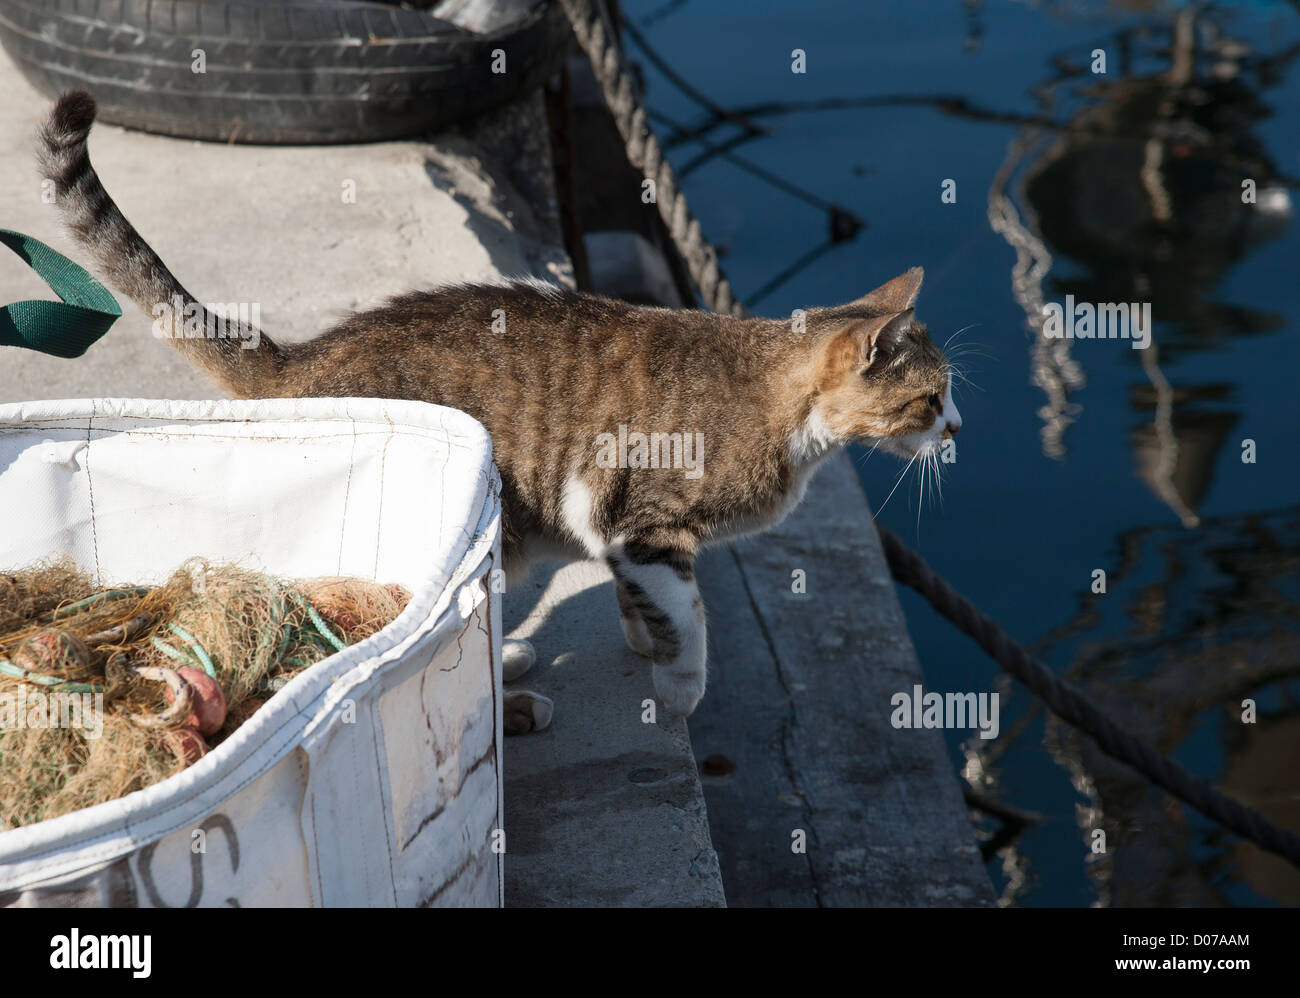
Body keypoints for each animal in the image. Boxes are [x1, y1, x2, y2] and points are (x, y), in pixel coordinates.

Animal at [35, 93, 961, 732]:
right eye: (932, 397)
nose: (956, 430)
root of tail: (300, 358)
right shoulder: (636, 518)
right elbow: (690, 617)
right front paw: (679, 687)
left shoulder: (621, 538)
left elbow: (648, 604)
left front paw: (642, 639)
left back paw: (510, 655)